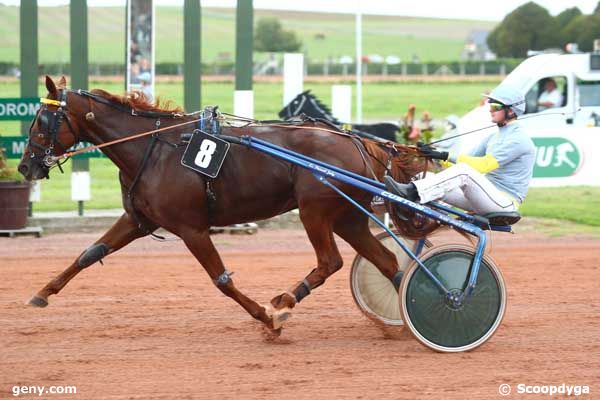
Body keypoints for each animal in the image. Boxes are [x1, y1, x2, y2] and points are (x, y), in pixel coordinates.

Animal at [18, 77, 432, 338]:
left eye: (41, 121)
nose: (25, 167)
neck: (152, 148)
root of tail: (359, 141)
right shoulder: (139, 219)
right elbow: (90, 253)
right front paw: (41, 293)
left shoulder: (192, 229)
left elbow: (221, 280)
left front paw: (268, 320)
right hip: (348, 217)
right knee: (387, 261)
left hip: (314, 210)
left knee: (330, 261)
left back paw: (286, 300)